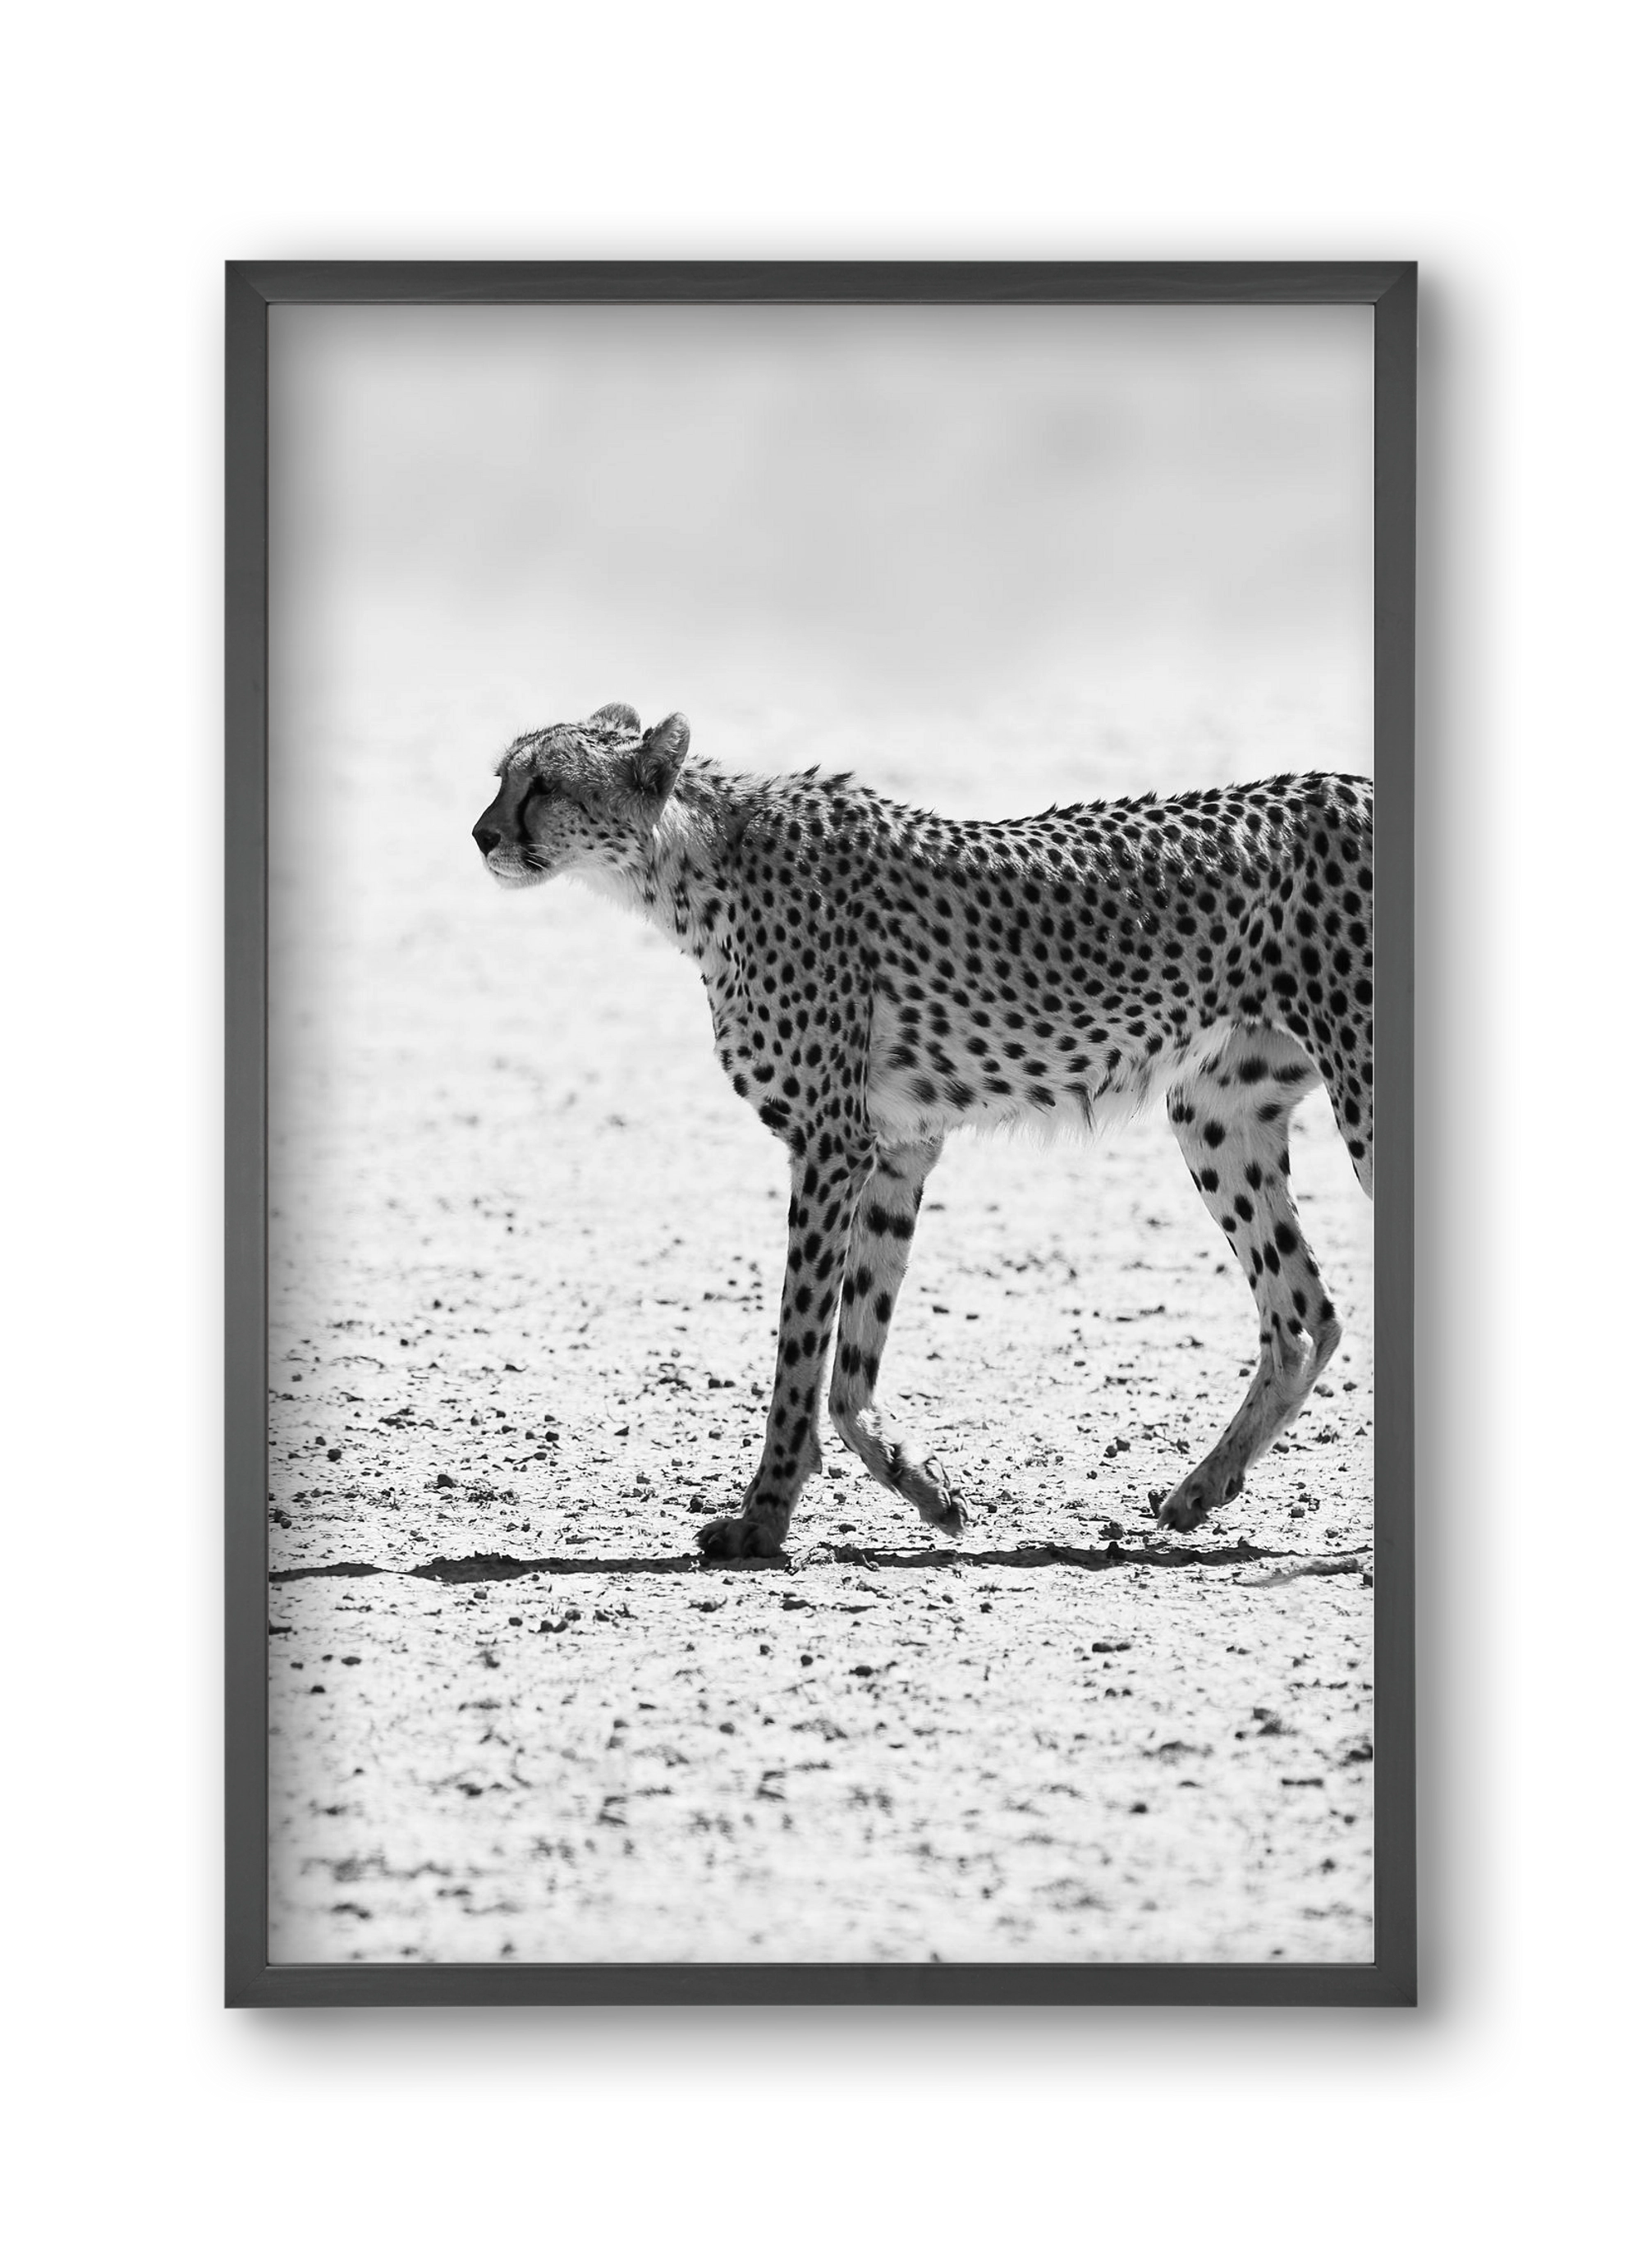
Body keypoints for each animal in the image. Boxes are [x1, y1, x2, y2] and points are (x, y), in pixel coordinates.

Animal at [472, 702, 1373, 1562]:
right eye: (502, 776)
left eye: (545, 784)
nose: (481, 834)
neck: (692, 863)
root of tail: (1350, 781)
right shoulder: (897, 1147)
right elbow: (850, 1364)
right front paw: (926, 1487)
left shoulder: (830, 1144)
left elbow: (800, 1349)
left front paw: (761, 1519)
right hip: (1215, 1112)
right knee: (1302, 1316)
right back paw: (1200, 1489)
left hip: (1357, 1096)